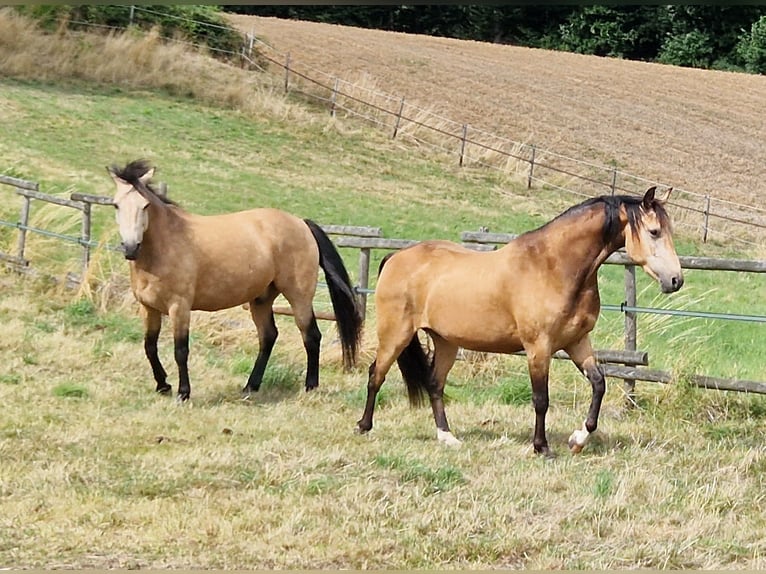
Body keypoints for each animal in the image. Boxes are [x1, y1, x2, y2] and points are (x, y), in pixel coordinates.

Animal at [107, 159, 363, 401]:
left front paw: (183, 393)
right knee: (268, 337)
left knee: (311, 336)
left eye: (145, 205)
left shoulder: (179, 307)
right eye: (116, 205)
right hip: (261, 299)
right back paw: (251, 386)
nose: (130, 248)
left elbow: (180, 350)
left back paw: (310, 386)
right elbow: (149, 346)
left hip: (299, 296)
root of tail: (301, 224)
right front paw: (163, 385)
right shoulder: (148, 307)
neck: (165, 245)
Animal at [356, 187, 683, 456]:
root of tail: (396, 257)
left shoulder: (577, 342)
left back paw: (447, 437)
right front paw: (542, 447)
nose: (676, 280)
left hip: (446, 341)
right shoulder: (539, 347)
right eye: (654, 231)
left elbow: (599, 384)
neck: (553, 267)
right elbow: (541, 398)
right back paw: (364, 426)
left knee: (435, 383)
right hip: (395, 334)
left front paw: (578, 440)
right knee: (376, 374)